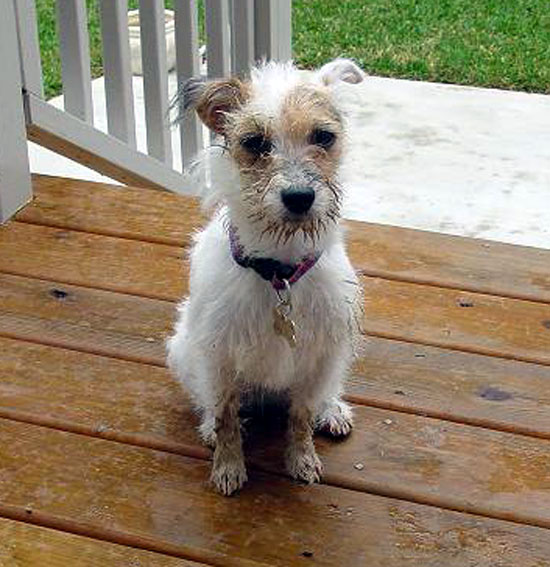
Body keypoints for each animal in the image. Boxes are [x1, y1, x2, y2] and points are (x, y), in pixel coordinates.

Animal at [168, 58, 366, 496]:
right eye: (256, 143)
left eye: (323, 137)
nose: (299, 198)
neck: (280, 271)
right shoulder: (219, 355)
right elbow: (225, 417)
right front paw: (228, 468)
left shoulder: (319, 353)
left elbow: (301, 416)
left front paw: (302, 460)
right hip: (183, 350)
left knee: (325, 393)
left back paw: (333, 410)